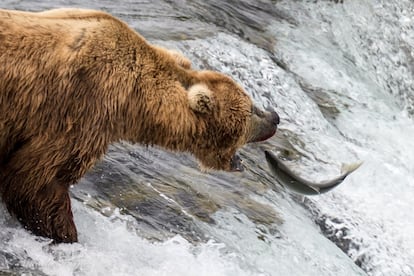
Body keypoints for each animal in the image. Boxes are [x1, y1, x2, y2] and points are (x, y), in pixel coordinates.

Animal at [0, 7, 280, 243]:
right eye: (252, 108)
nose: (275, 117)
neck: (133, 102)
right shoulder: (79, 110)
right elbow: (38, 181)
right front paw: (66, 234)